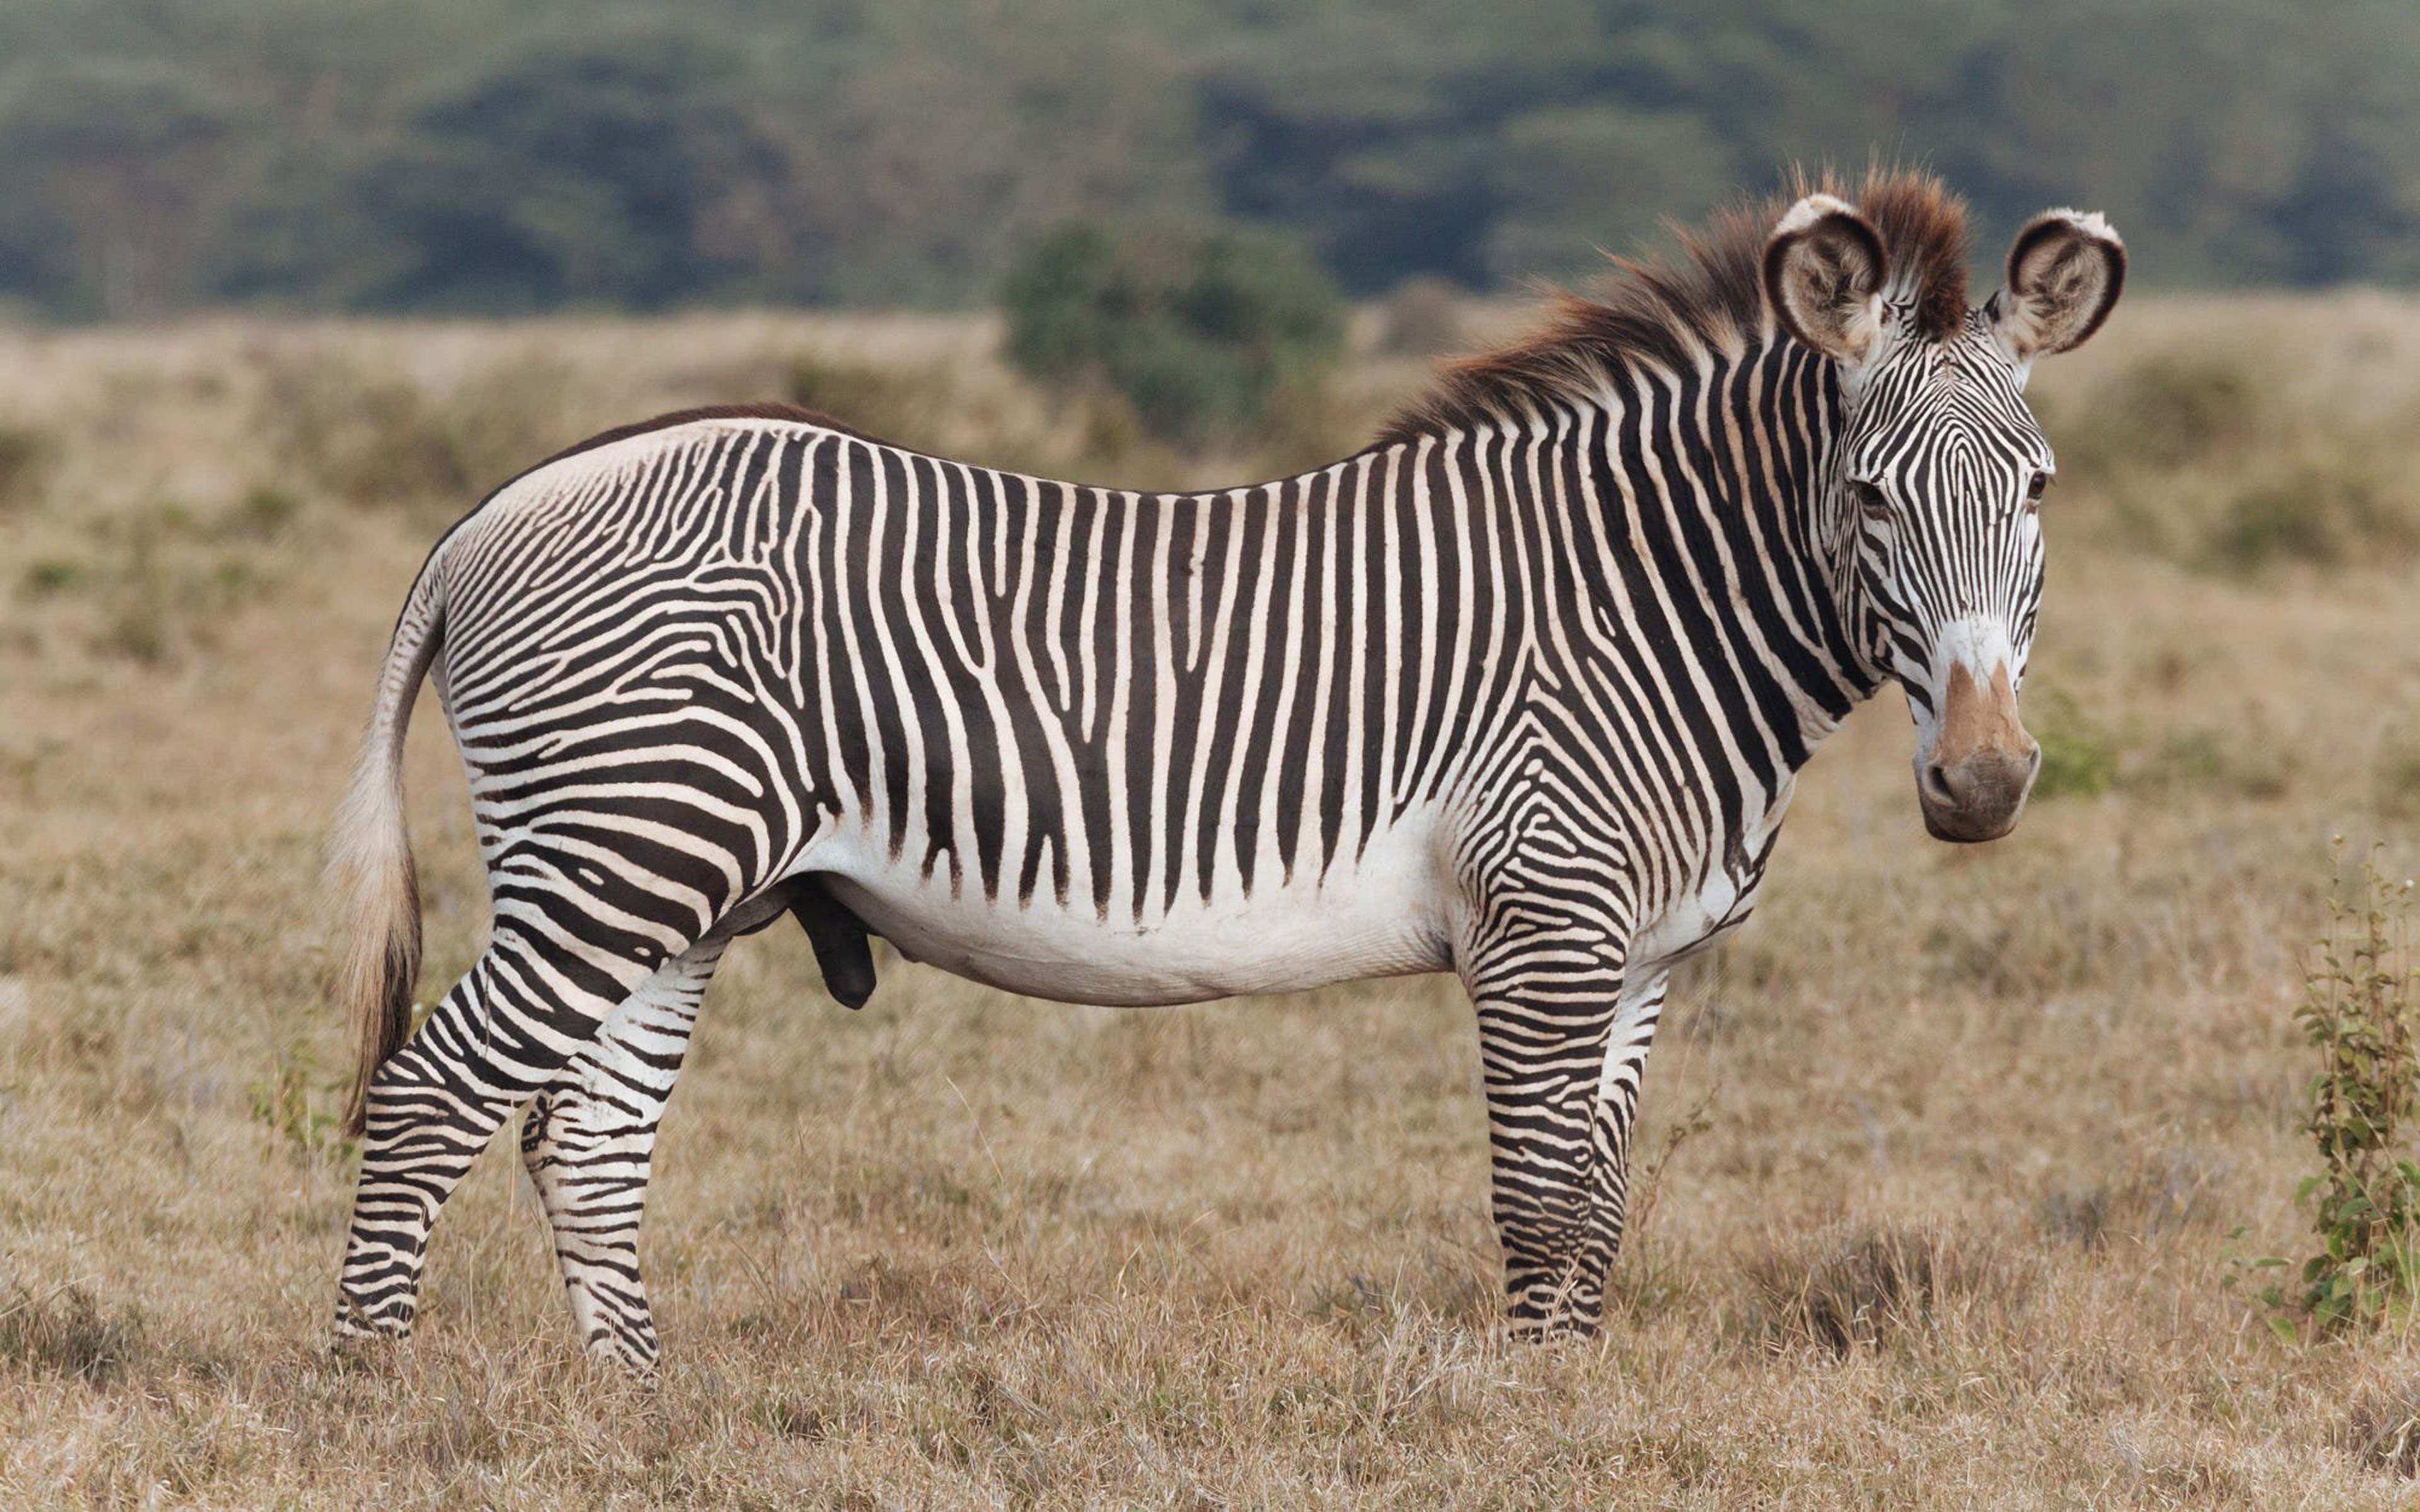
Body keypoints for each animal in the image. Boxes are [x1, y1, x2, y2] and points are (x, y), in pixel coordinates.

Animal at [326, 168, 2119, 1364]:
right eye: (1869, 495)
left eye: (2040, 487)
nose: (1979, 782)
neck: (1645, 600)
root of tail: (496, 509)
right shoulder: (1543, 924)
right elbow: (1540, 1200)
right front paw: (1544, 1421)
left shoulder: (1640, 955)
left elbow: (1601, 1207)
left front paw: (1582, 1394)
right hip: (620, 854)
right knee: (427, 1098)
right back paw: (377, 1398)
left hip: (677, 885)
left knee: (582, 1139)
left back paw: (632, 1410)